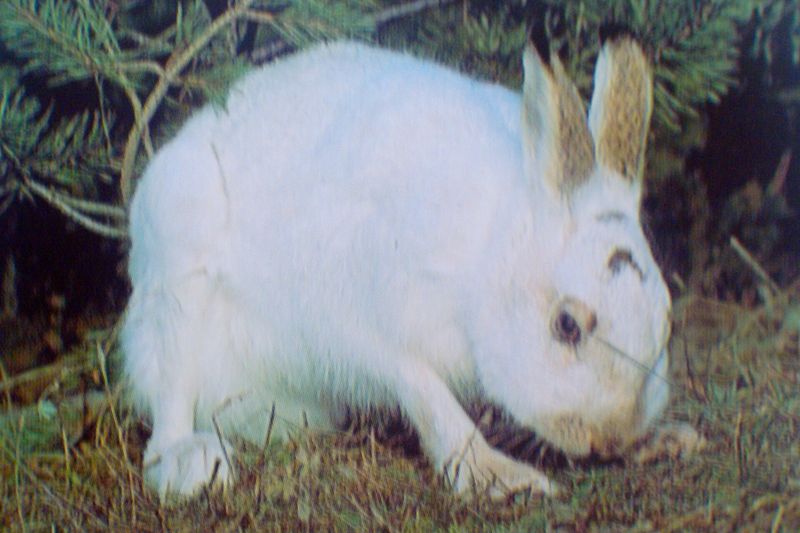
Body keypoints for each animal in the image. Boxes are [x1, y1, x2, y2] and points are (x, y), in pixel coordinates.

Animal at [122, 35, 674, 500]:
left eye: (667, 321)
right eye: (566, 325)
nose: (610, 438)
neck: (491, 249)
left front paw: (662, 441)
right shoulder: (362, 324)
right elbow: (429, 396)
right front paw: (500, 477)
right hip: (180, 248)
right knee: (170, 388)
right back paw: (188, 462)